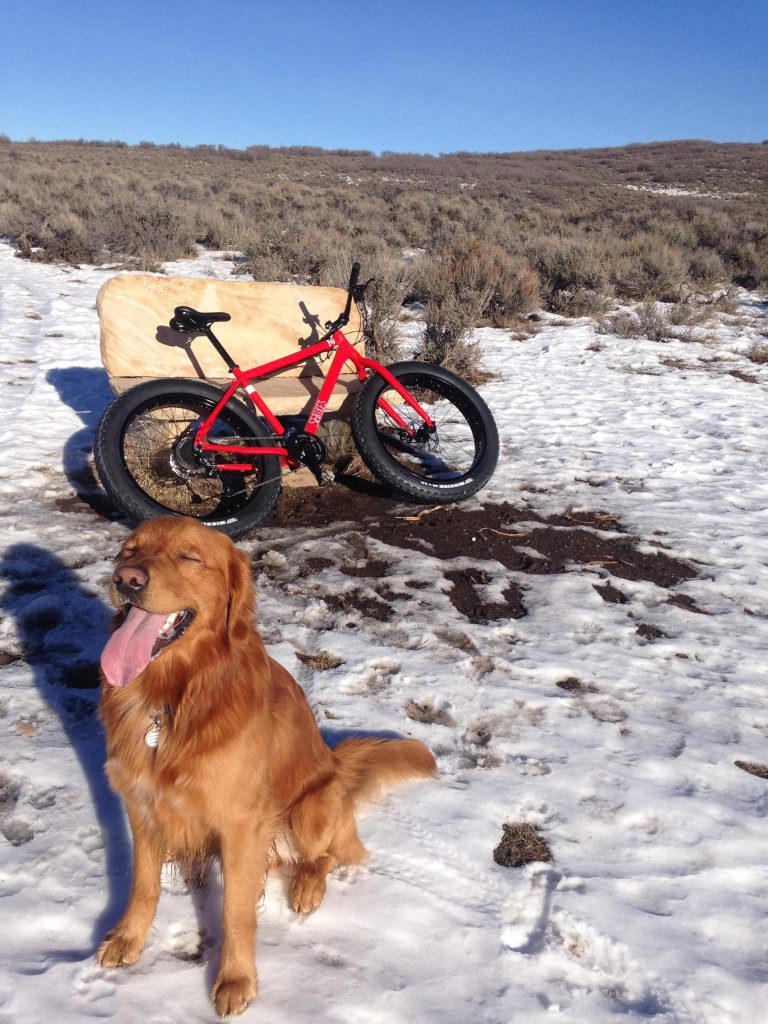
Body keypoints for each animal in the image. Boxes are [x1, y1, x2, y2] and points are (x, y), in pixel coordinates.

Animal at [96, 520, 436, 1015]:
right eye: (128, 551)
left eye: (188, 557)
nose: (127, 579)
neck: (174, 697)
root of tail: (336, 761)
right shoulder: (141, 804)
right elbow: (144, 884)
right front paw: (128, 938)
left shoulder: (241, 824)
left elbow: (235, 914)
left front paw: (236, 979)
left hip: (311, 809)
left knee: (327, 853)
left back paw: (308, 886)